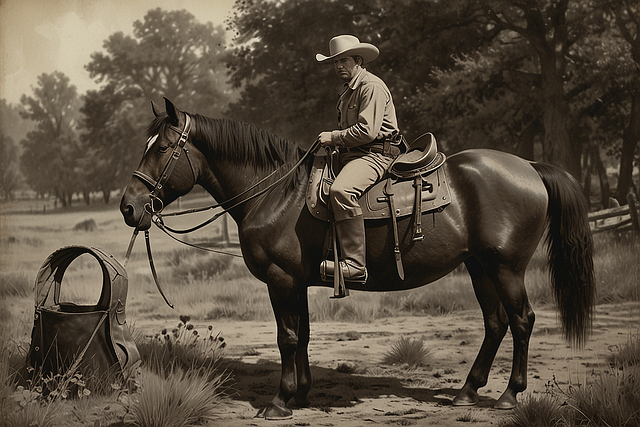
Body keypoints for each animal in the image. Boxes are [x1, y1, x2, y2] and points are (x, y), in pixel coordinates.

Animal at [120, 98, 595, 419]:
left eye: (161, 148)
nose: (129, 206)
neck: (278, 194)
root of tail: (530, 167)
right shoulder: (297, 281)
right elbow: (303, 336)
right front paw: (302, 394)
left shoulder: (281, 279)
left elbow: (286, 338)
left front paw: (279, 401)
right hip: (479, 266)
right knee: (495, 323)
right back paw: (467, 392)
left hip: (506, 267)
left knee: (521, 320)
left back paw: (509, 395)